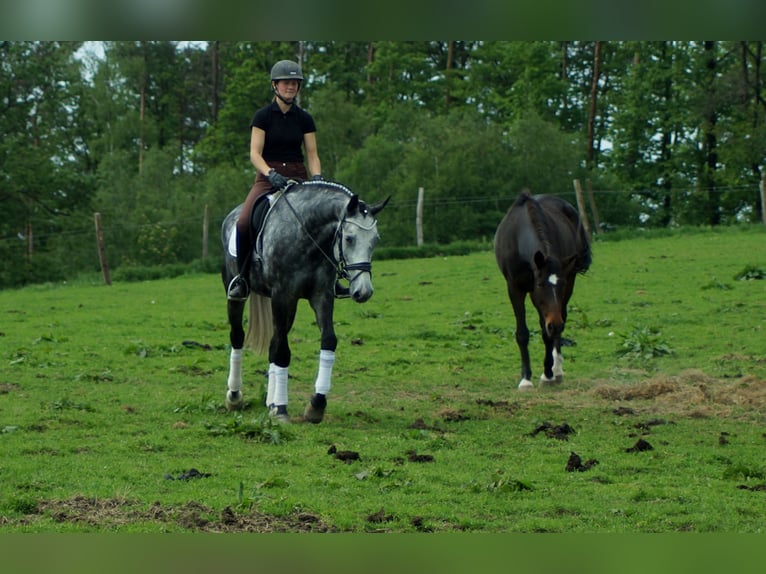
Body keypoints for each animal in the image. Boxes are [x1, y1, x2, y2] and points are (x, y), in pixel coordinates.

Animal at [222, 182, 390, 426]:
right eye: (349, 239)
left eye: (375, 240)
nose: (364, 292)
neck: (308, 235)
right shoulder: (282, 295)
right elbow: (283, 351)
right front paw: (282, 410)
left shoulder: (321, 295)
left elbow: (328, 340)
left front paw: (316, 405)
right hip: (236, 293)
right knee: (238, 337)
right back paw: (234, 397)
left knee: (273, 342)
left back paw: (270, 402)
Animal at [496, 192, 596, 392]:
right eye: (540, 284)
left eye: (561, 284)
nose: (555, 324)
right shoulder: (515, 288)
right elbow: (522, 334)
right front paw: (526, 379)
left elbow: (546, 333)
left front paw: (548, 374)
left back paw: (556, 369)